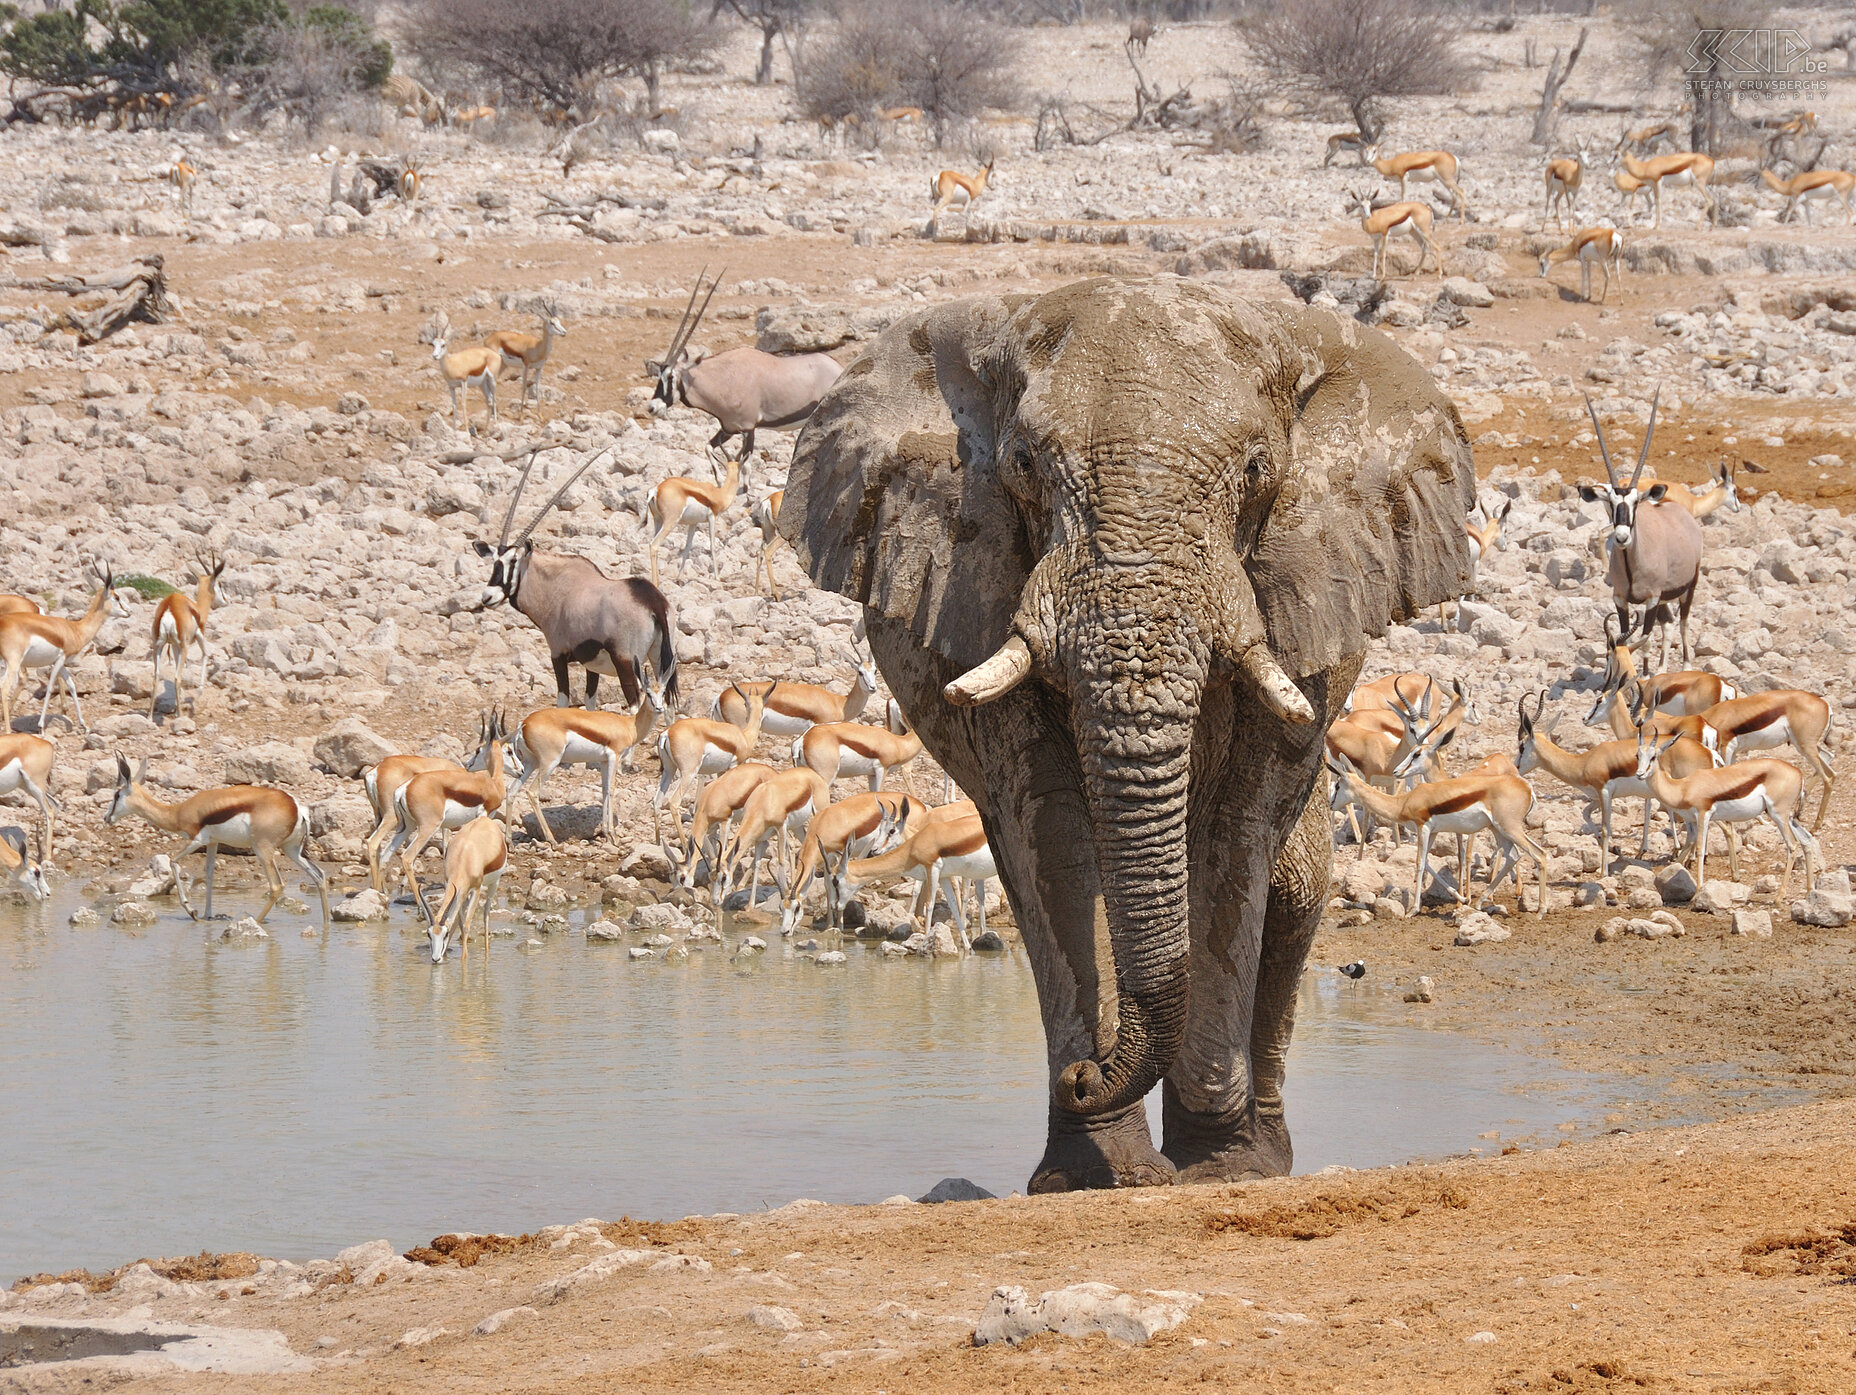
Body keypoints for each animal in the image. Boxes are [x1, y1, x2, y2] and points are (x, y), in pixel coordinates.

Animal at [775, 278, 1469, 1194]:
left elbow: (1234, 833)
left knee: (1292, 891)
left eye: (1257, 471)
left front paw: (1218, 1166)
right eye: (1024, 465)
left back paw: (1264, 1152)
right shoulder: (979, 585)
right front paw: (1095, 1168)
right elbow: (1051, 831)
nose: (1083, 1074)